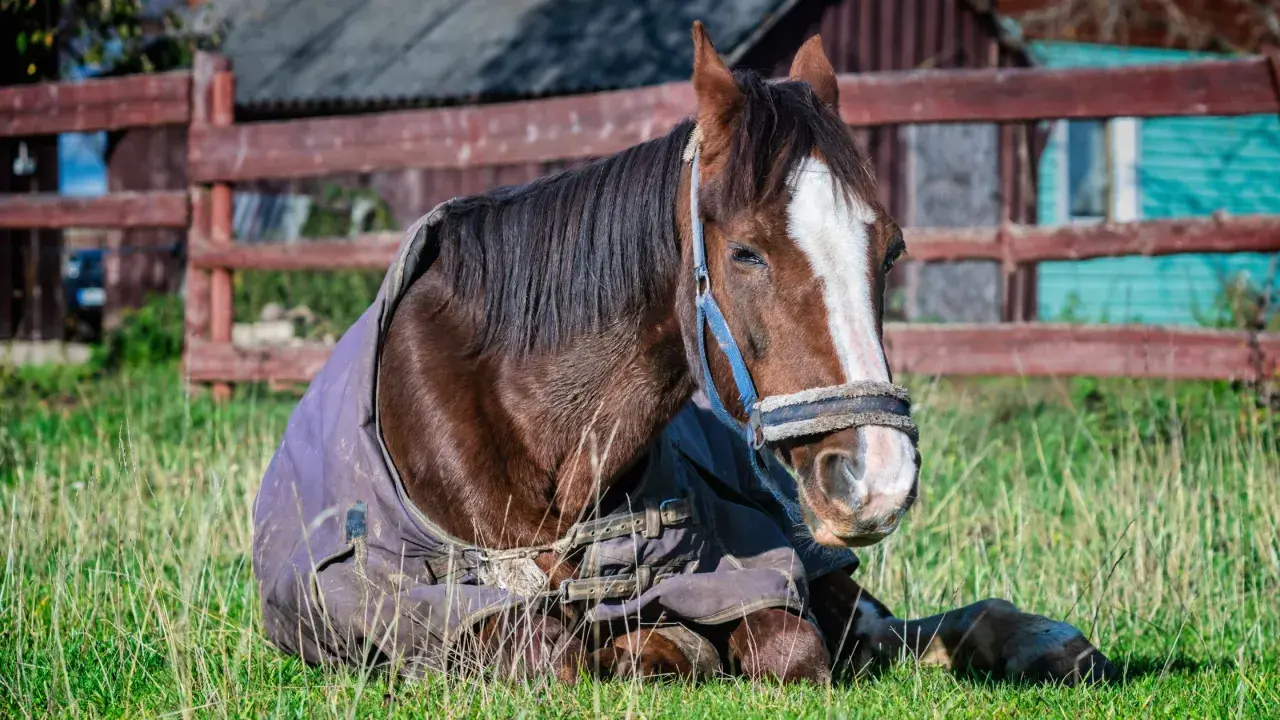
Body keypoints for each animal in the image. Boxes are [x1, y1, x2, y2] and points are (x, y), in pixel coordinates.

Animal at [252, 22, 1116, 685]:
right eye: (746, 253)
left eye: (892, 249)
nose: (878, 478)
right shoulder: (443, 612)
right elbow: (560, 650)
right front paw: (657, 644)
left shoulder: (755, 569)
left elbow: (792, 642)